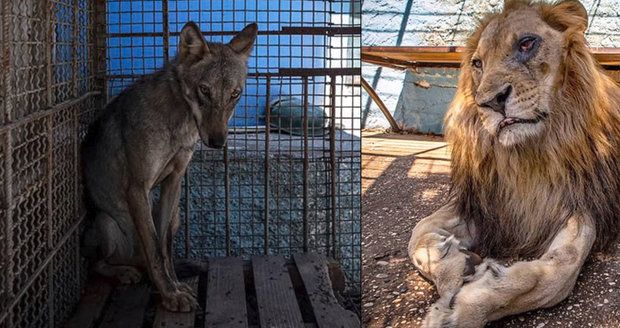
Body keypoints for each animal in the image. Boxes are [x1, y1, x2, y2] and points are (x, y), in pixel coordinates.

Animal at [81, 21, 256, 312]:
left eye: (235, 94)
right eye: (204, 90)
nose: (218, 142)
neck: (179, 125)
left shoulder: (173, 182)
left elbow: (164, 248)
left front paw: (174, 286)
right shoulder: (137, 188)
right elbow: (153, 248)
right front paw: (170, 295)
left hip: (175, 217)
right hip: (106, 223)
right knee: (96, 264)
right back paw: (123, 272)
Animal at [406, 1, 620, 326]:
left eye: (527, 43)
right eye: (477, 63)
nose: (491, 102)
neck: (526, 156)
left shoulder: (582, 201)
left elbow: (559, 273)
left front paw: (467, 306)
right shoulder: (491, 203)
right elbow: (417, 232)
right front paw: (455, 266)